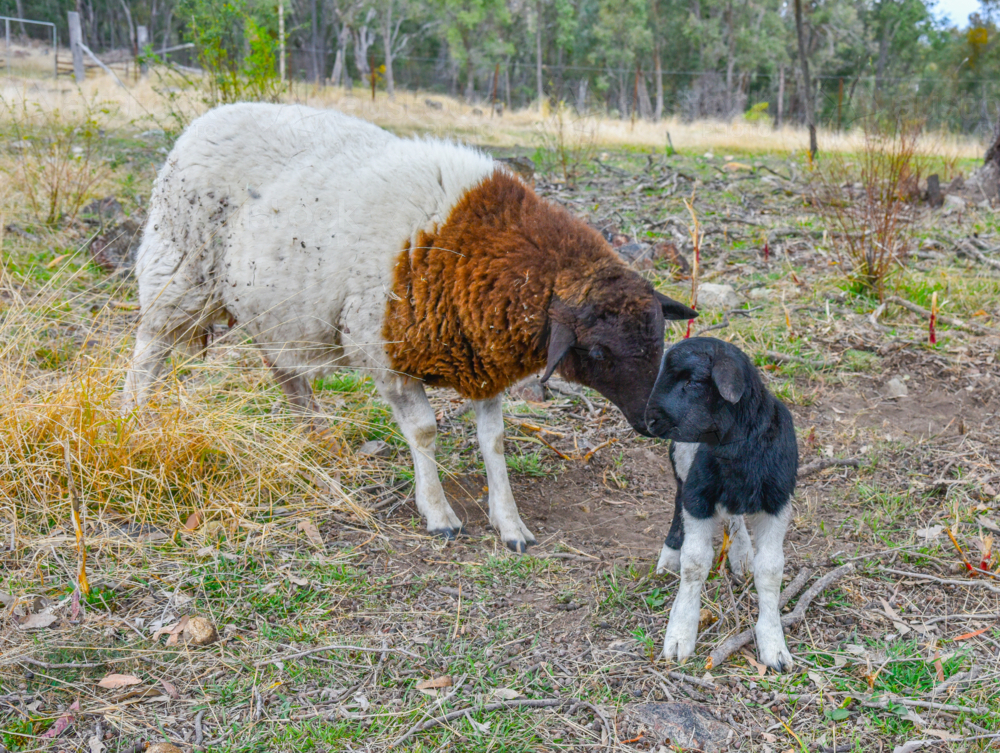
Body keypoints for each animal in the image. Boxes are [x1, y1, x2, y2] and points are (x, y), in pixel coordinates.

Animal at [123, 102, 696, 552]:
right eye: (598, 353)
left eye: (659, 339)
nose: (654, 422)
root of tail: (203, 120)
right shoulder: (388, 352)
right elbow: (423, 431)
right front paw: (439, 514)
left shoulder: (480, 353)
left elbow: (494, 441)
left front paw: (510, 523)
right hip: (176, 271)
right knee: (148, 352)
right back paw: (134, 418)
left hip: (276, 303)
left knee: (284, 369)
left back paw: (319, 437)